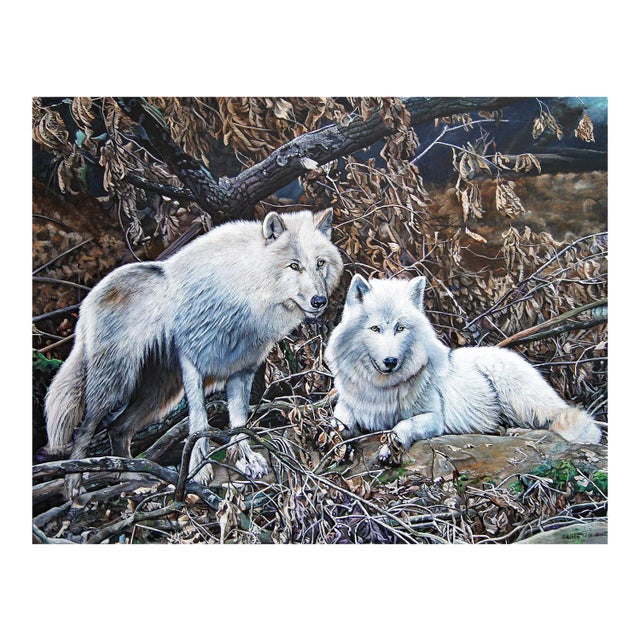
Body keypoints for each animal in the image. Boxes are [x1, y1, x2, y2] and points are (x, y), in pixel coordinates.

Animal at [45, 208, 343, 497]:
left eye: (320, 263)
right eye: (294, 265)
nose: (320, 301)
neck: (241, 297)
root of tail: (91, 296)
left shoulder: (241, 372)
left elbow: (239, 423)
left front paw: (245, 461)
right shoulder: (192, 366)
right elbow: (199, 425)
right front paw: (199, 471)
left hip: (160, 394)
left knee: (117, 429)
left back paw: (135, 478)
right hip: (116, 384)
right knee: (86, 428)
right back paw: (74, 487)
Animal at [325, 275, 601, 462]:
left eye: (400, 328)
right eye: (375, 329)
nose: (390, 361)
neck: (382, 388)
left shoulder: (434, 418)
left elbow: (402, 425)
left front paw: (389, 447)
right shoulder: (350, 406)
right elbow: (338, 421)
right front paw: (334, 443)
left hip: (518, 395)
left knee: (550, 419)